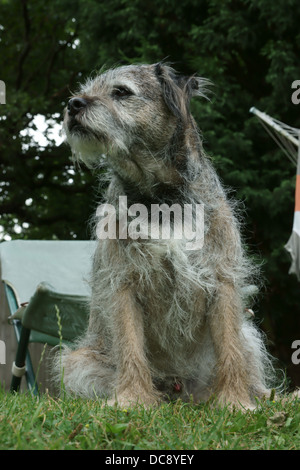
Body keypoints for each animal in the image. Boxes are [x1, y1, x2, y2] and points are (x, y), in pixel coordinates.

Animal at [54, 63, 276, 412]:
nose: (73, 104)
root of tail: (182, 394)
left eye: (121, 91)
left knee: (247, 360)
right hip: (77, 363)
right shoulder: (123, 281)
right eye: (85, 90)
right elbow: (130, 345)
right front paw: (131, 401)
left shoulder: (221, 278)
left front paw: (235, 403)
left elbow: (230, 349)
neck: (160, 197)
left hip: (250, 336)